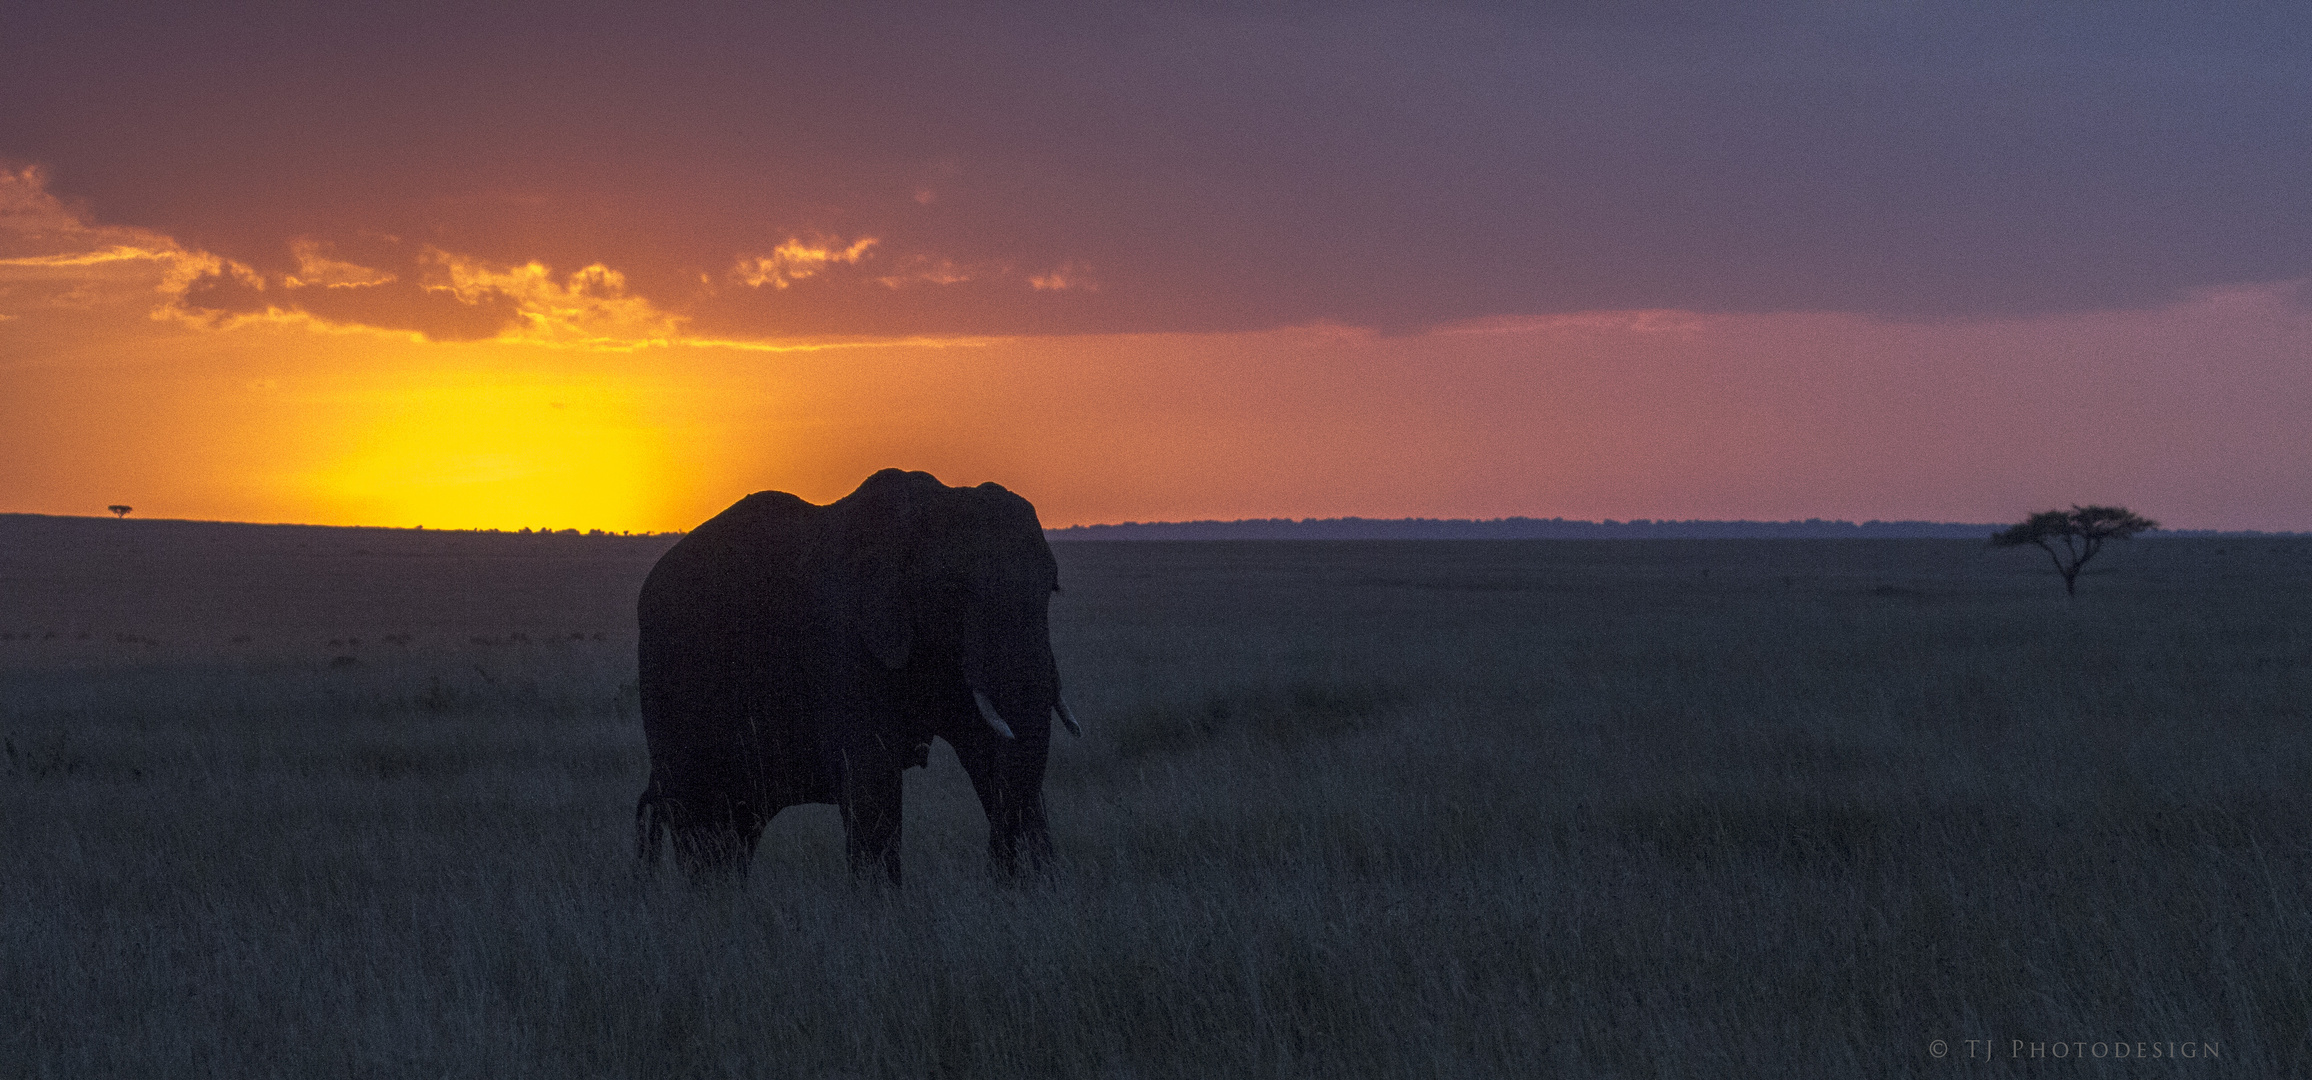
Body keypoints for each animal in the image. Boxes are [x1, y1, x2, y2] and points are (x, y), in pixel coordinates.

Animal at [633, 467, 1082, 888]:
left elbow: (989, 752)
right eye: (952, 592)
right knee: (703, 825)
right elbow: (872, 777)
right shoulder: (843, 638)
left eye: (1053, 589)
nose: (994, 873)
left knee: (735, 829)